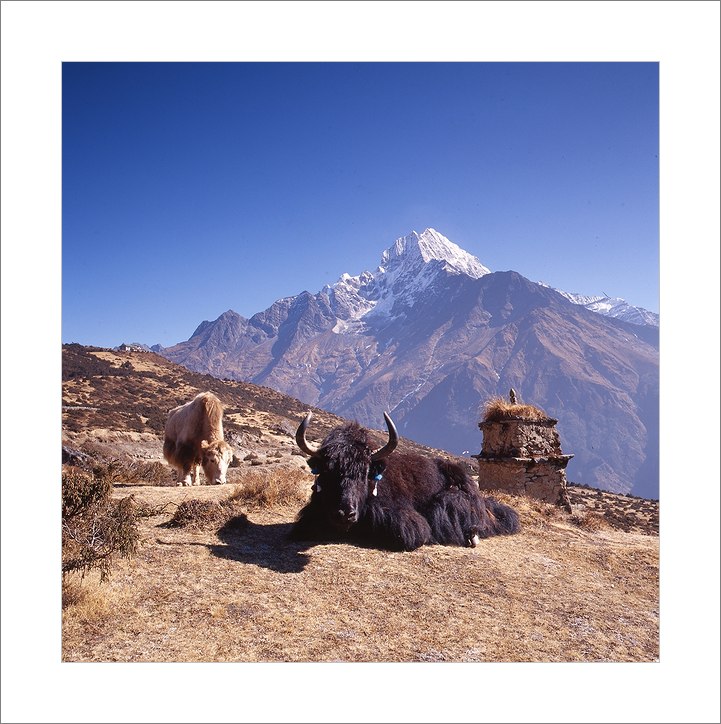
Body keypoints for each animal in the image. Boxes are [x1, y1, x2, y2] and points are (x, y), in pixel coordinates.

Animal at [290, 411, 520, 551]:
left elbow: (410, 532)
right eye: (328, 472)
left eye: (364, 473)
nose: (345, 513)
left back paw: (471, 534)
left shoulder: (404, 521)